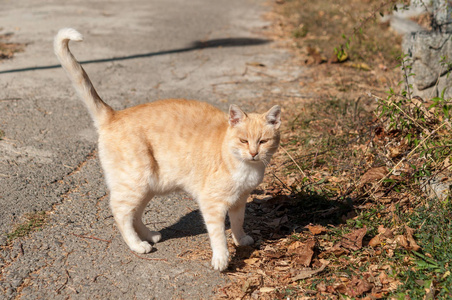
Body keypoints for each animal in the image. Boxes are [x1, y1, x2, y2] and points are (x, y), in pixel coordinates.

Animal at [52, 28, 278, 272]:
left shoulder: (239, 201)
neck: (245, 167)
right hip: (135, 183)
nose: (254, 153)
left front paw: (241, 239)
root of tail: (114, 115)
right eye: (244, 141)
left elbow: (238, 222)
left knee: (135, 214)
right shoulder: (212, 204)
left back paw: (149, 235)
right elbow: (218, 236)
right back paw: (137, 245)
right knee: (120, 213)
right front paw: (222, 259)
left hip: (148, 187)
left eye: (263, 141)